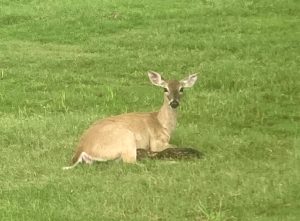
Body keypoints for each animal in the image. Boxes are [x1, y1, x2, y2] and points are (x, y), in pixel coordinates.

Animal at [63, 71, 197, 169]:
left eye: (181, 89)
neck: (162, 123)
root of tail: (81, 150)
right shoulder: (156, 141)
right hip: (126, 138)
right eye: (165, 89)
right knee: (132, 162)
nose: (174, 103)